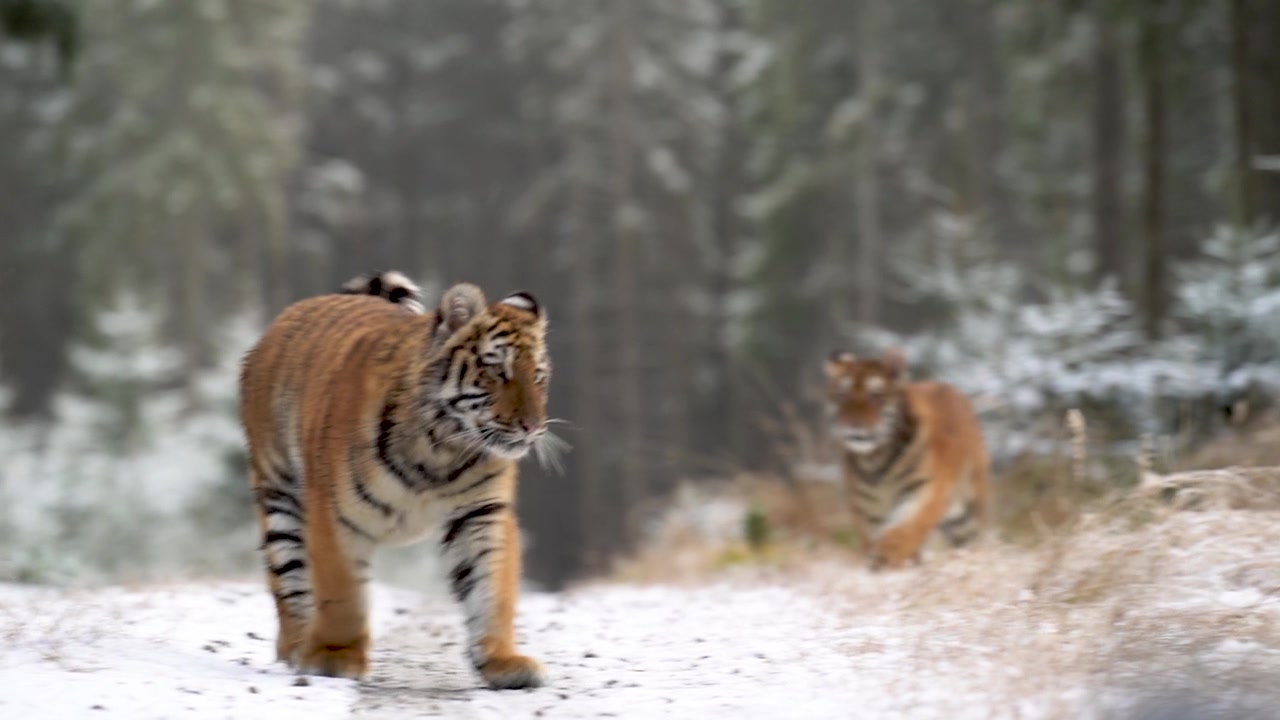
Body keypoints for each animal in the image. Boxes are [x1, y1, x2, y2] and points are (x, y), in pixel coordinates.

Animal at [238, 270, 553, 689]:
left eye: (538, 376)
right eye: (498, 371)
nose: (533, 427)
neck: (443, 447)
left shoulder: (482, 513)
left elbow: (492, 586)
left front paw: (503, 661)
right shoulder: (334, 515)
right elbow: (342, 593)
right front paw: (335, 657)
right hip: (280, 498)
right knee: (290, 582)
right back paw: (298, 647)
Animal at [824, 348, 989, 569]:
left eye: (875, 396)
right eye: (843, 395)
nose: (853, 425)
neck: (877, 458)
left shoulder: (925, 489)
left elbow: (905, 528)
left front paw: (887, 557)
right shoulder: (866, 506)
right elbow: (873, 536)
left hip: (968, 510)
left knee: (974, 536)